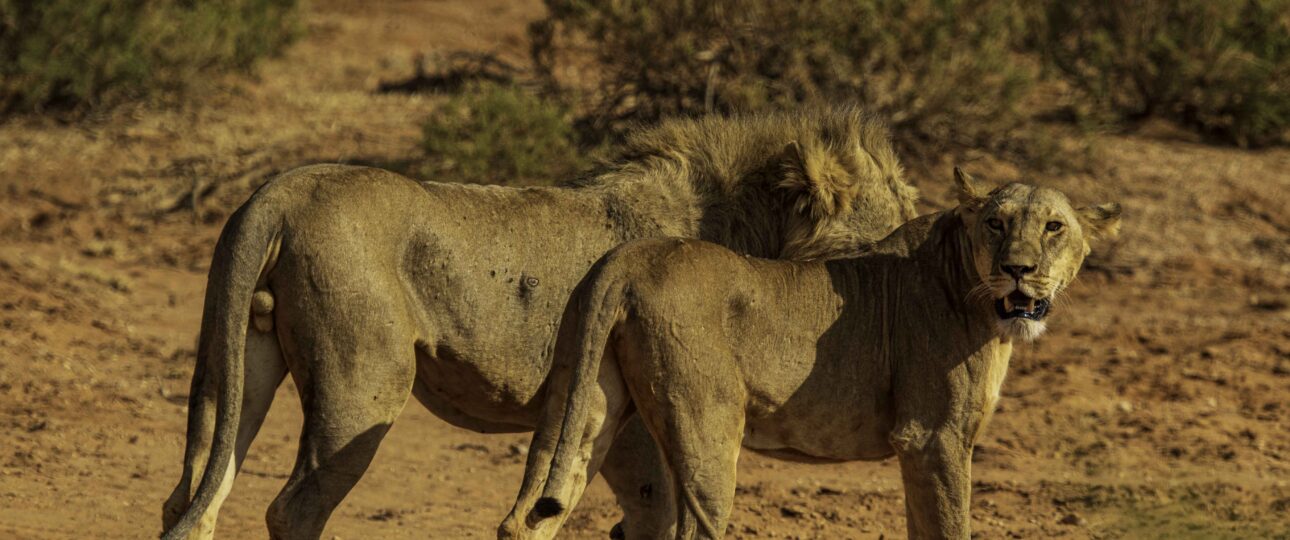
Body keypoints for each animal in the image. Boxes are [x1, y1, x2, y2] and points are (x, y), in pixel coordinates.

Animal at [160, 106, 919, 539]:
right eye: (889, 242)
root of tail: (280, 189)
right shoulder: (633, 420)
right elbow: (653, 514)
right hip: (364, 379)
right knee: (292, 509)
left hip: (233, 364)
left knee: (192, 496)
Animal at [502, 169, 1121, 539]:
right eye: (995, 223)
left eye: (1054, 227)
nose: (1018, 268)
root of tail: (630, 257)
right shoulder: (932, 437)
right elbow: (949, 528)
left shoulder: (923, 446)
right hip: (707, 431)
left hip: (582, 400)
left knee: (528, 515)